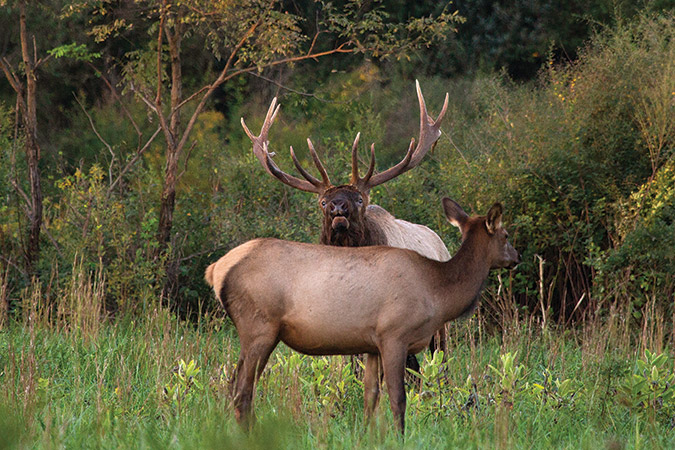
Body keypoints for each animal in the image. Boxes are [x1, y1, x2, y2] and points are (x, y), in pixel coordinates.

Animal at [205, 198, 520, 434]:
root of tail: (216, 269)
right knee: (242, 391)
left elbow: (371, 397)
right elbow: (398, 397)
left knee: (233, 386)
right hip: (259, 326)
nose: (516, 257)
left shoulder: (372, 345)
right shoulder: (395, 335)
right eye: (505, 235)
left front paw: (367, 435)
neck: (437, 291)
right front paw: (399, 437)